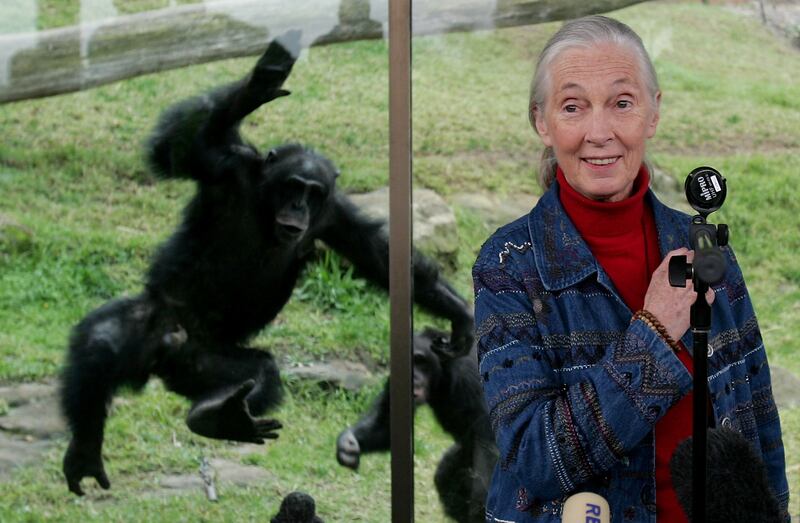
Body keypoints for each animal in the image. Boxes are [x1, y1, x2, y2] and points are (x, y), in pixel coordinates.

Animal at [64, 31, 476, 496]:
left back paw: (215, 415)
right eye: (293, 185)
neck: (264, 202)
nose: (298, 206)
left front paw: (458, 313)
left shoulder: (336, 215)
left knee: (261, 373)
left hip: (207, 364)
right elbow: (174, 148)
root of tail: (168, 355)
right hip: (154, 322)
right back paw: (85, 450)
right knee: (101, 341)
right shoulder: (224, 167)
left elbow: (384, 259)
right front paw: (259, 84)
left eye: (313, 192)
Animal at [332, 330, 494, 520]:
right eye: (411, 363)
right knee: (445, 477)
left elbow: (487, 441)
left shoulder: (469, 379)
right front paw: (348, 443)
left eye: (420, 360)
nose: (413, 377)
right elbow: (386, 426)